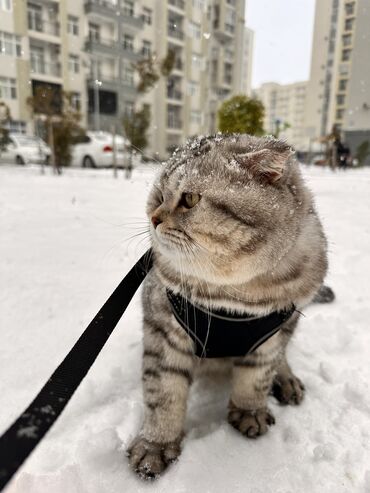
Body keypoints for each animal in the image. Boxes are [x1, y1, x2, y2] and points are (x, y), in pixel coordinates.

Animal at [128, 134, 330, 476]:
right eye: (159, 196)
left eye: (190, 198)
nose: (153, 218)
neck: (234, 299)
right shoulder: (163, 326)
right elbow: (163, 391)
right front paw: (156, 443)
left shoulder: (272, 334)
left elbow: (257, 378)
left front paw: (250, 411)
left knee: (282, 359)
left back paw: (286, 379)